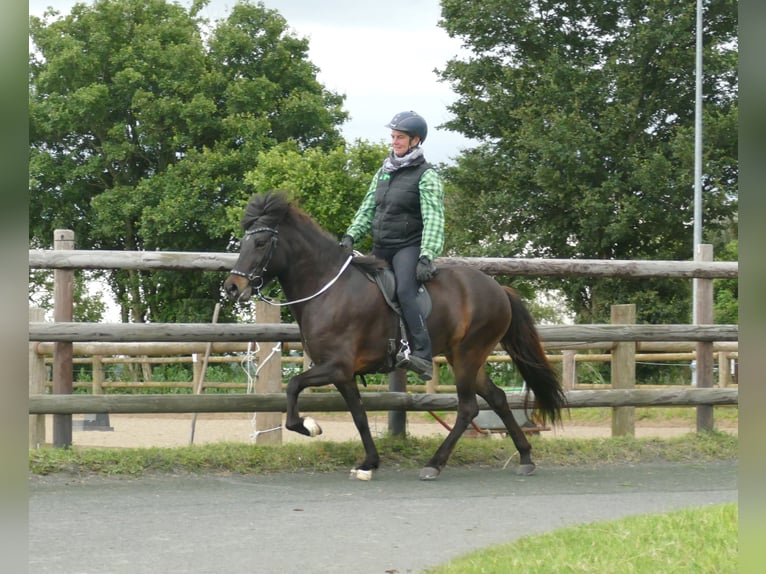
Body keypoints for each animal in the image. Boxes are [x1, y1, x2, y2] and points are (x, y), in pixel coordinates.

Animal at [225, 194, 568, 482]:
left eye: (260, 242)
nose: (232, 287)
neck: (329, 289)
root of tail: (499, 289)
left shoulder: (335, 366)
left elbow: (294, 387)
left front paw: (309, 427)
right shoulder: (344, 374)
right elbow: (359, 415)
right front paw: (369, 463)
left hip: (468, 356)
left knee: (468, 408)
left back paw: (435, 464)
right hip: (467, 358)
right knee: (496, 398)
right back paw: (525, 457)